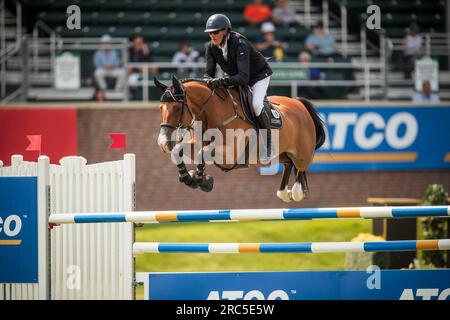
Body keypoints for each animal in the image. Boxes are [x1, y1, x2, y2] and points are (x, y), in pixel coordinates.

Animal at [154, 75, 324, 202]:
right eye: (160, 108)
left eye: (177, 108)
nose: (163, 143)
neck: (211, 113)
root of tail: (299, 103)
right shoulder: (198, 143)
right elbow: (178, 151)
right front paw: (190, 178)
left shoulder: (231, 153)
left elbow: (202, 153)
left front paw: (201, 180)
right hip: (282, 153)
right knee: (288, 163)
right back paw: (284, 192)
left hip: (302, 153)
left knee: (301, 165)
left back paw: (297, 192)